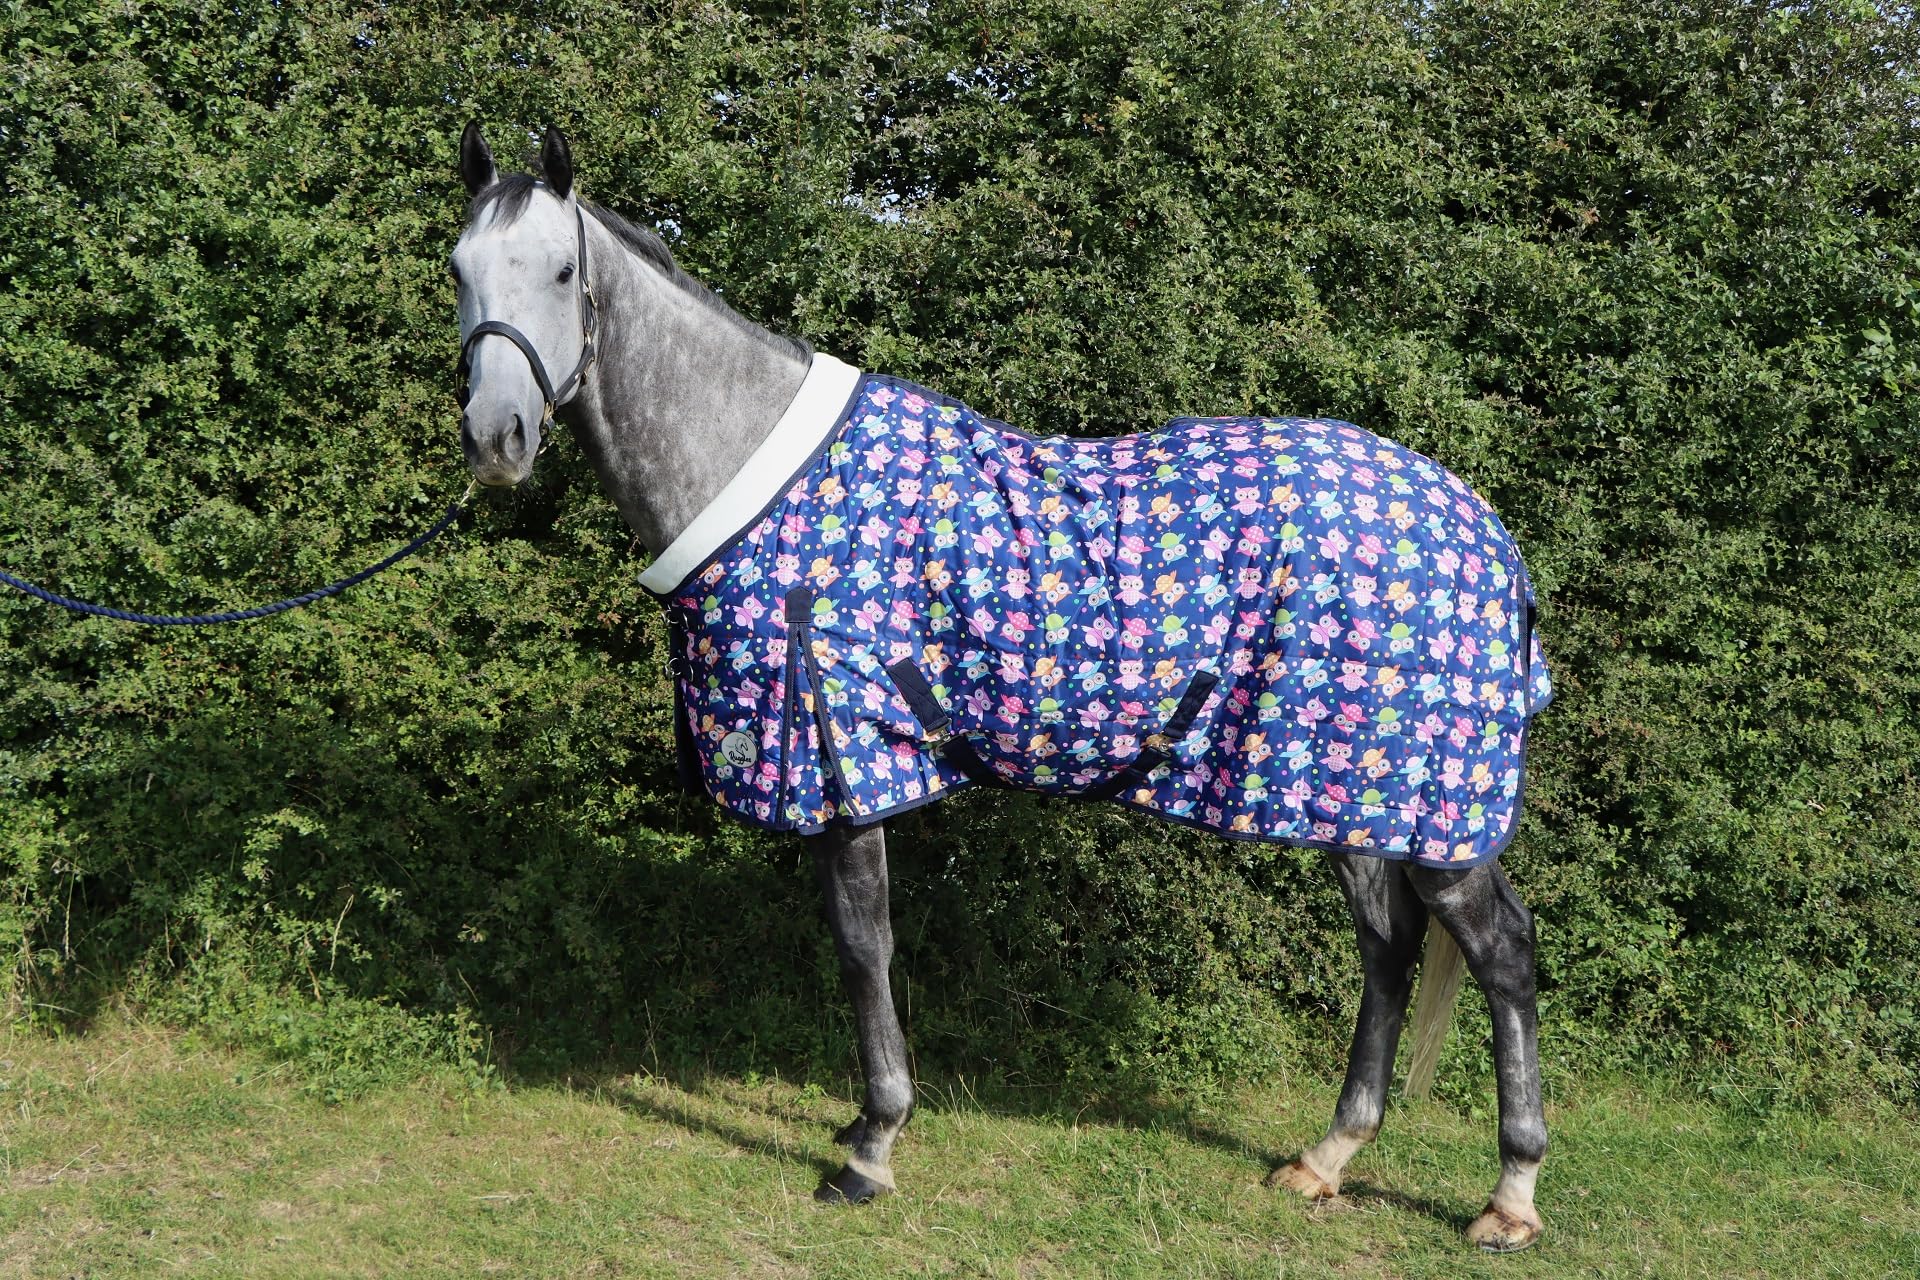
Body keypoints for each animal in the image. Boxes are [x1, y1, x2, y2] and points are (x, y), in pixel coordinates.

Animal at [449, 122, 1551, 1253]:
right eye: (458, 269)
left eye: (564, 270)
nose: (496, 440)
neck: (756, 471)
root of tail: (1484, 529)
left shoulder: (849, 770)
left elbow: (863, 950)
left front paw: (872, 1145)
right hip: (1348, 794)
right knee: (1388, 947)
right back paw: (1327, 1158)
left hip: (1431, 805)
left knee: (1502, 953)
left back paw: (1509, 1195)